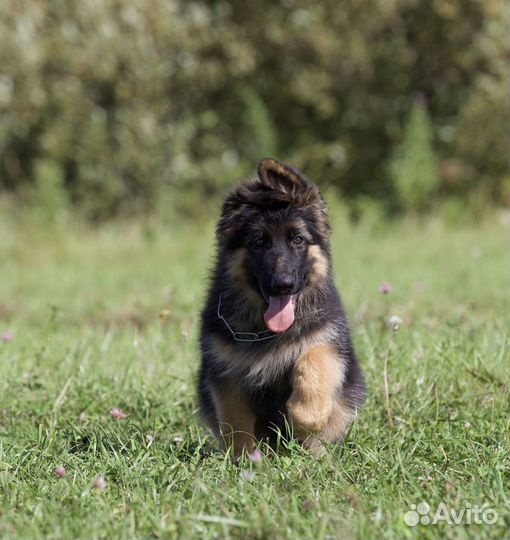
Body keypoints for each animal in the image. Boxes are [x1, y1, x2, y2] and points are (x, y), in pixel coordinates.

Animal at [196, 158, 366, 454]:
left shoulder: (328, 338)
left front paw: (306, 416)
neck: (268, 331)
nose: (283, 285)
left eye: (297, 239)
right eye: (259, 242)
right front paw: (243, 458)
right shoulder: (226, 372)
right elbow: (236, 422)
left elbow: (313, 359)